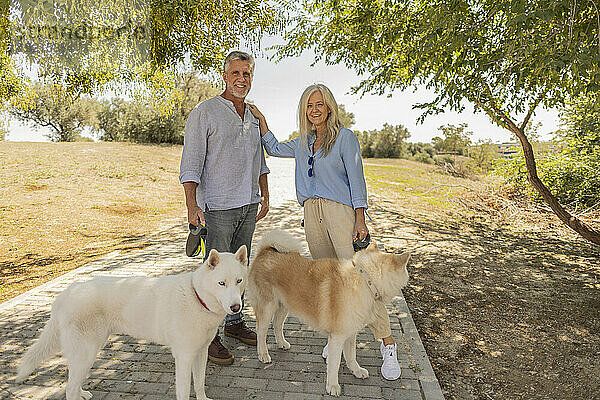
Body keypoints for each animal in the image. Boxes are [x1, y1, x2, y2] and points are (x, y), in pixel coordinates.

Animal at [17, 247, 248, 400]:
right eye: (221, 283)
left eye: (239, 281)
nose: (236, 307)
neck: (196, 297)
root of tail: (66, 294)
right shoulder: (183, 357)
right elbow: (184, 392)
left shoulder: (200, 353)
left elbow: (199, 385)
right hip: (86, 354)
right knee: (69, 389)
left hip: (85, 356)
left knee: (73, 384)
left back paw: (83, 392)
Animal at [246, 231, 410, 396]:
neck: (366, 280)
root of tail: (265, 251)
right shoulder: (337, 338)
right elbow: (334, 365)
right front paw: (332, 386)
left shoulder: (350, 334)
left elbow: (351, 356)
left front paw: (356, 371)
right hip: (267, 307)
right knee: (261, 332)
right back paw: (263, 354)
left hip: (283, 306)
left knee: (277, 325)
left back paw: (282, 343)